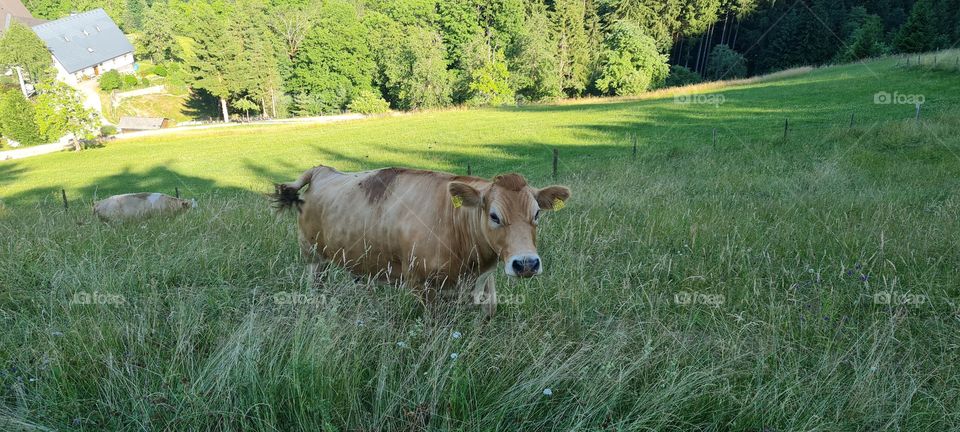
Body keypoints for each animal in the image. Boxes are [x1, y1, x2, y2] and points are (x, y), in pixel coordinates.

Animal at [271, 165, 571, 316]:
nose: (526, 263)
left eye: (537, 214)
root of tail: (322, 169)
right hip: (312, 256)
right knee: (315, 285)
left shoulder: (484, 281)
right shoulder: (419, 283)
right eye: (494, 216)